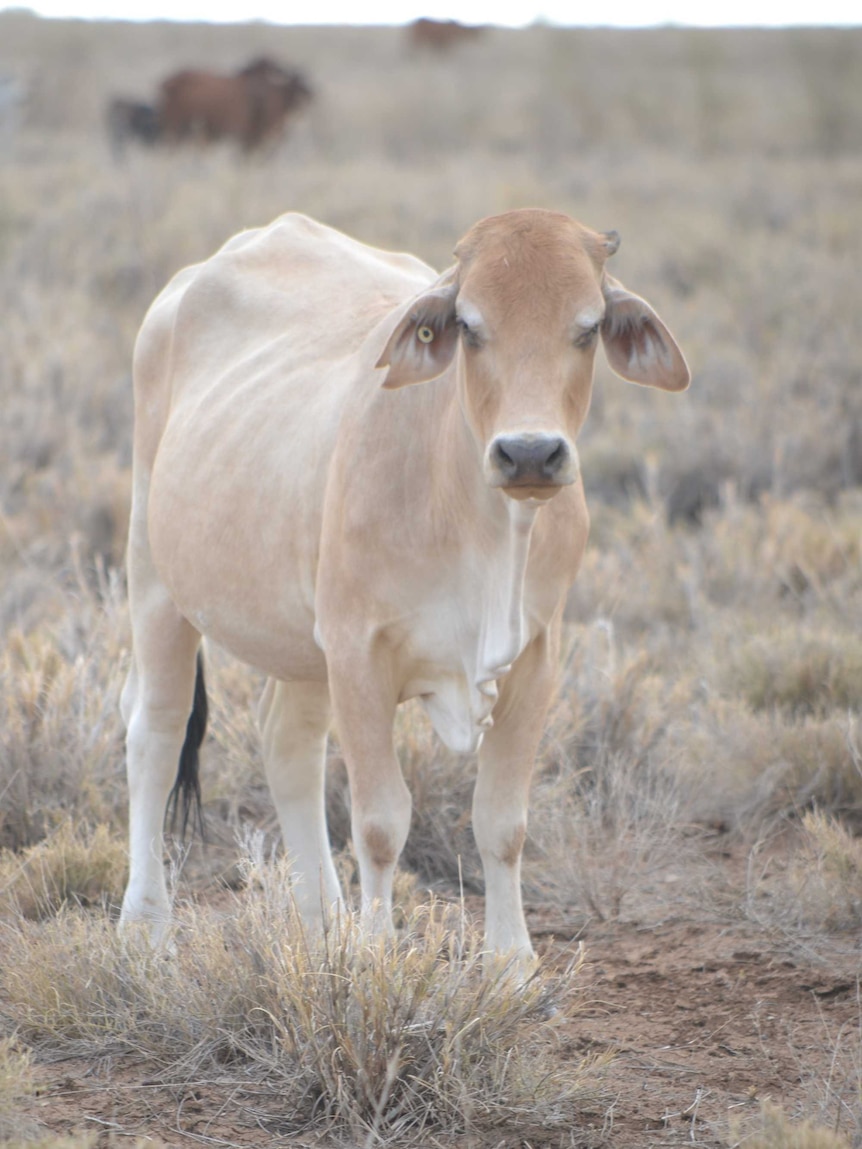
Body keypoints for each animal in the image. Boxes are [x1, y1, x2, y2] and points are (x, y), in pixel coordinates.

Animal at [118, 209, 694, 960]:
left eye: (589, 326)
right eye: (470, 325)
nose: (529, 453)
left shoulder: (537, 658)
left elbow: (502, 823)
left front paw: (511, 965)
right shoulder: (358, 650)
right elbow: (381, 824)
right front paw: (375, 955)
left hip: (303, 640)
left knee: (288, 743)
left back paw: (324, 922)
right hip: (156, 580)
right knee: (155, 731)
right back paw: (146, 927)